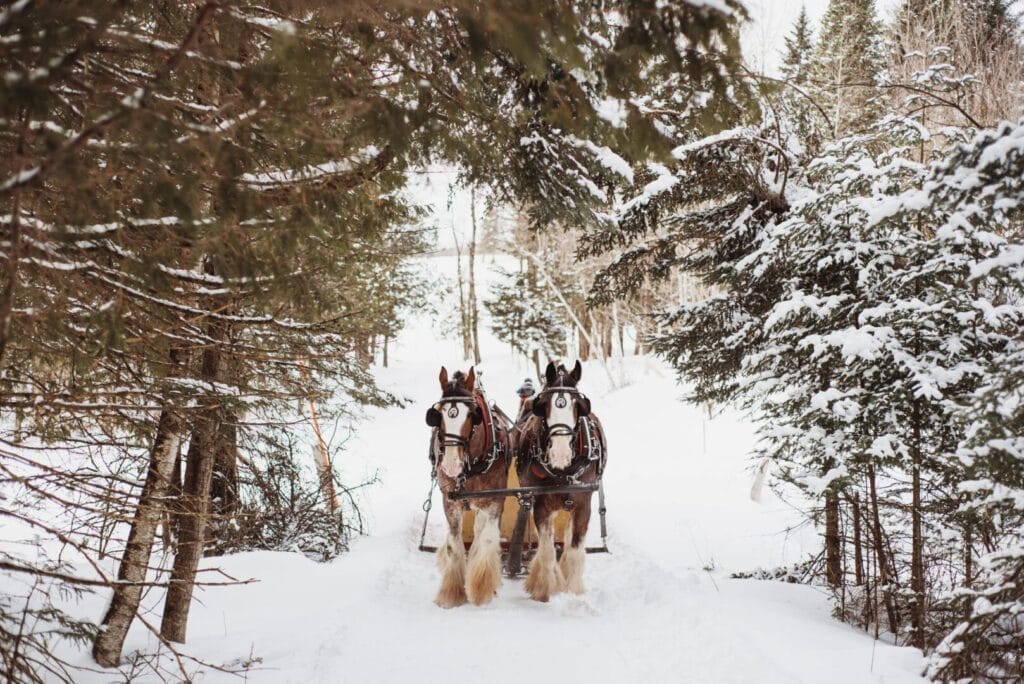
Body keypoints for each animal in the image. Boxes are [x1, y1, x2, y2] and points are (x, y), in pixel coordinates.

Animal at [424, 366, 512, 607]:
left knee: (480, 534)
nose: (451, 465)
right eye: (438, 414)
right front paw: (452, 593)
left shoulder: (494, 501)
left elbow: (487, 538)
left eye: (472, 415)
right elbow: (454, 543)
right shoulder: (450, 501)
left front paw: (482, 588)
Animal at [515, 360, 606, 602]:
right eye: (545, 405)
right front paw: (544, 589)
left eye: (578, 405)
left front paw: (573, 590)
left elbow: (574, 548)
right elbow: (546, 549)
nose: (560, 454)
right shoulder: (540, 504)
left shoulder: (583, 503)